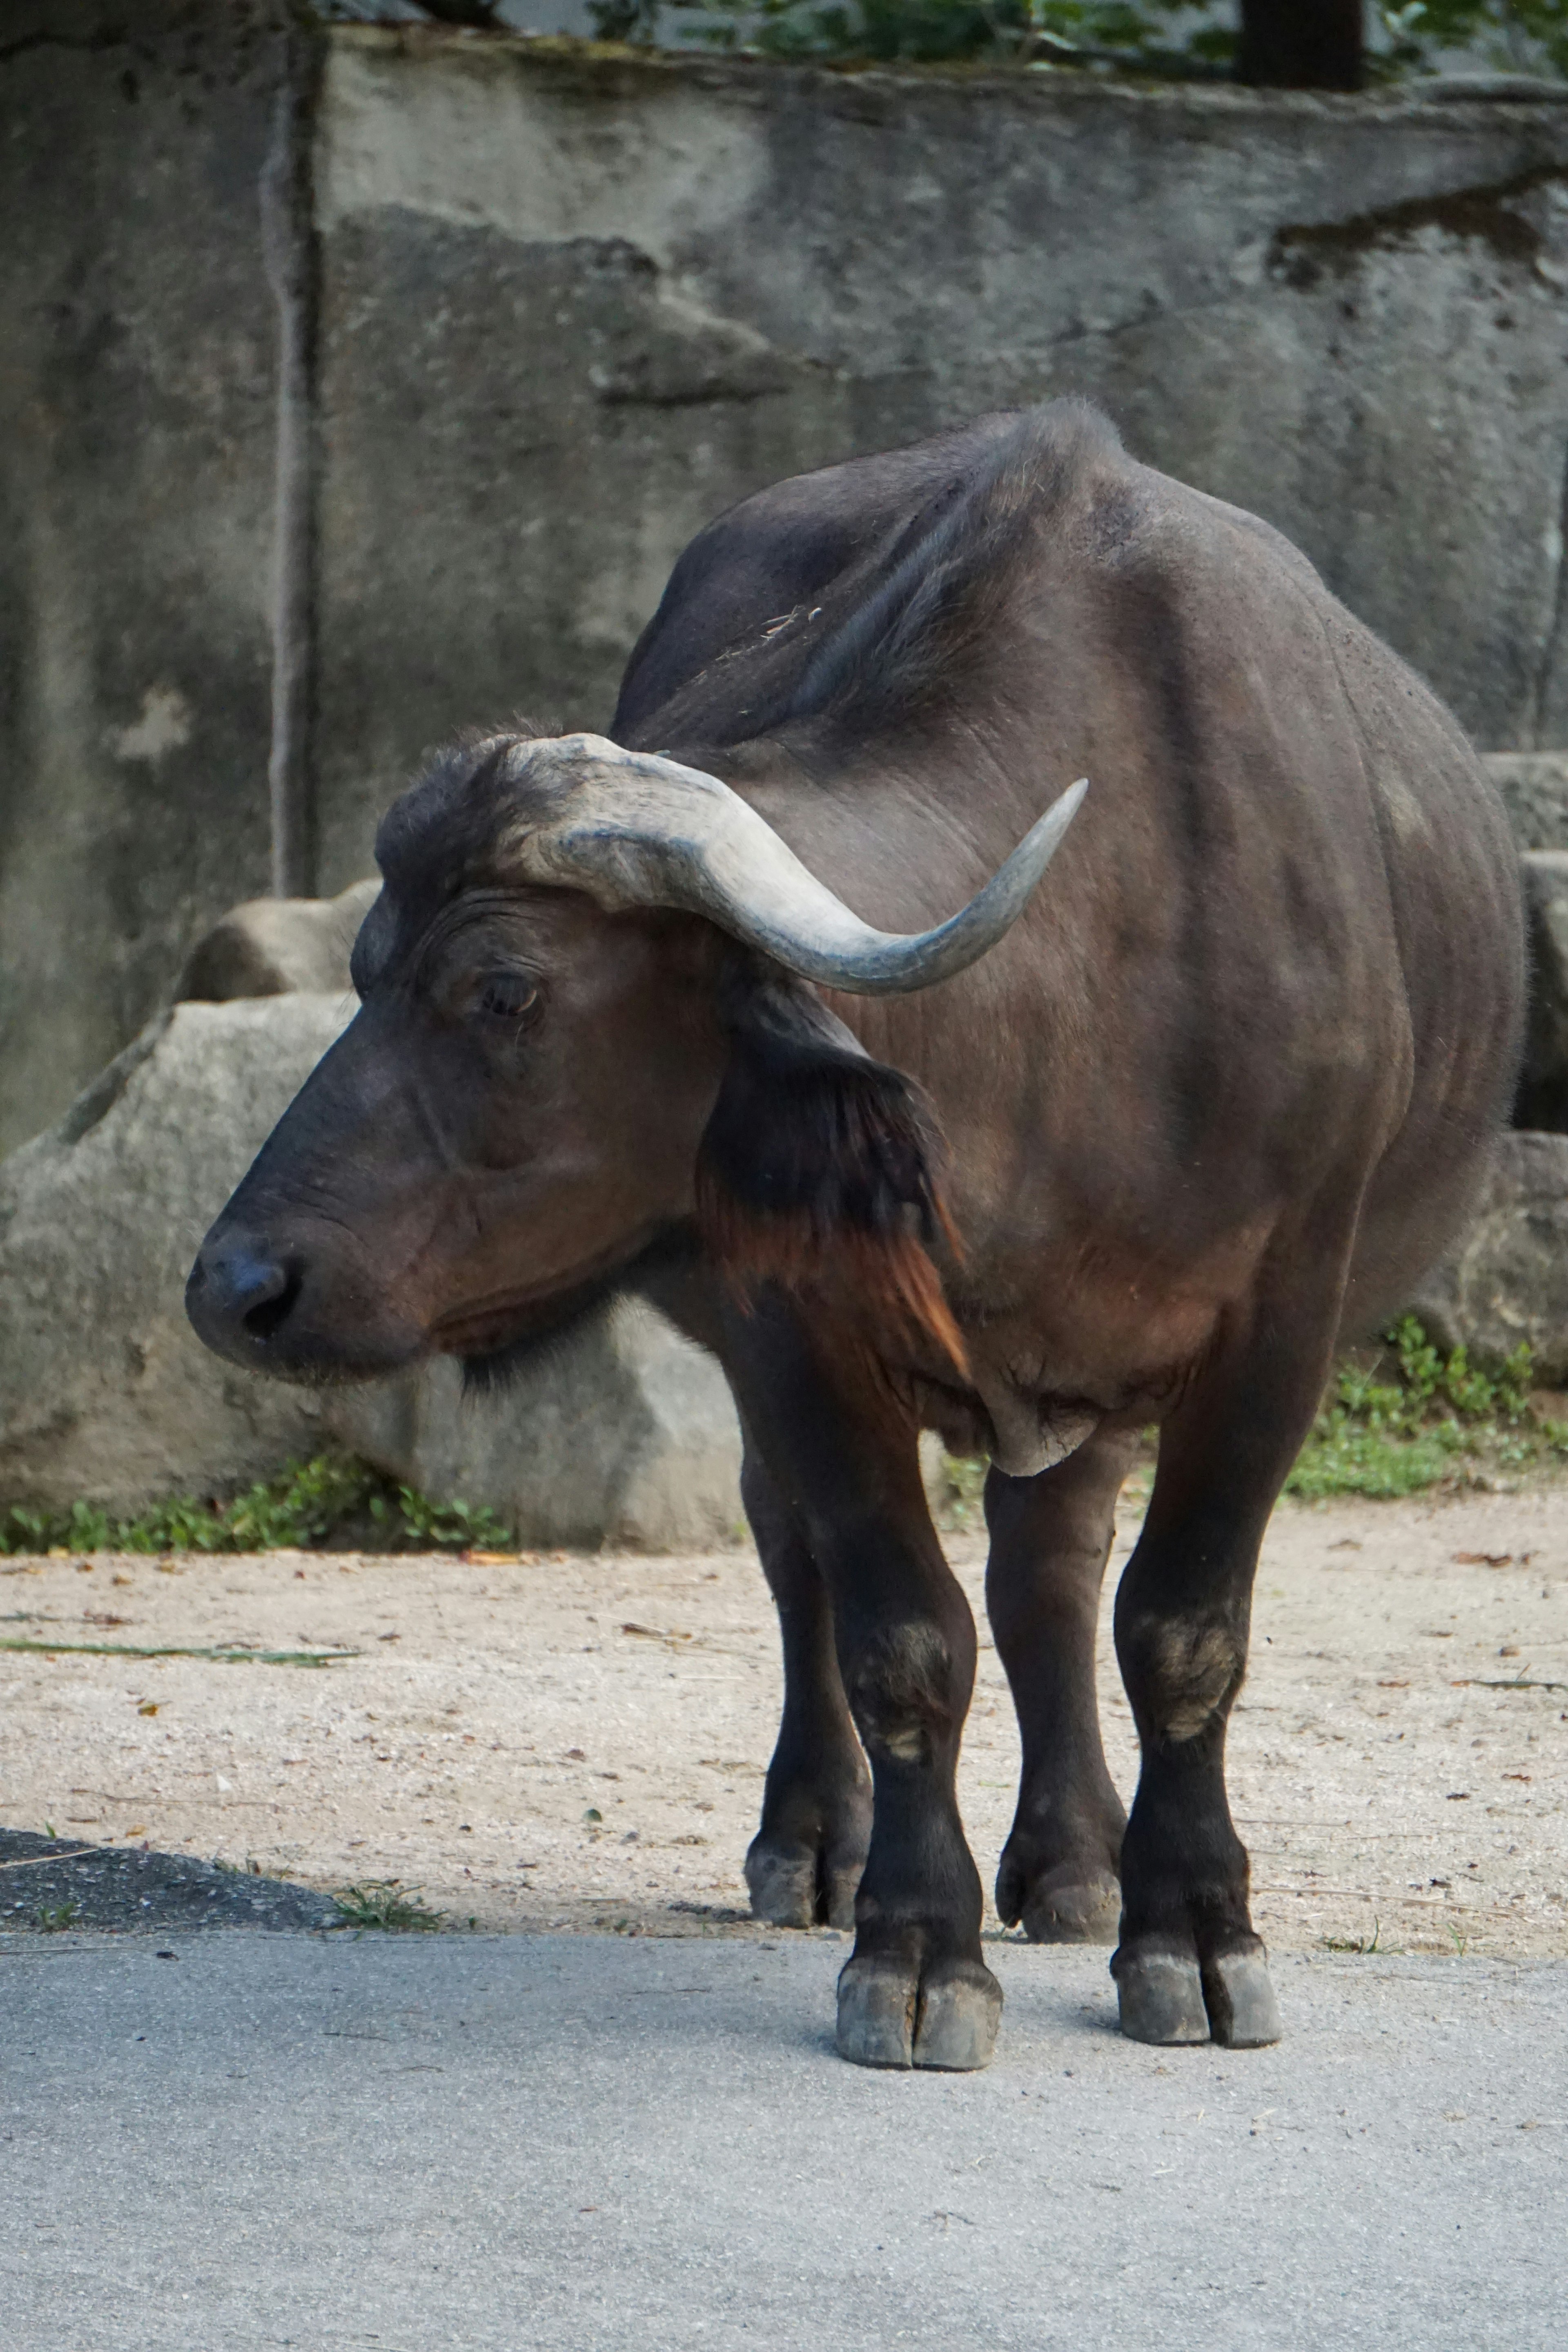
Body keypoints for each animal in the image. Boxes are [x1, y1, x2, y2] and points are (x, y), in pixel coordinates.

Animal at [184, 409, 1523, 2079]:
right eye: (362, 967)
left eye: (502, 987)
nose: (238, 1286)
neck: (1085, 987)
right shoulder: (792, 1322)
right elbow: (900, 1635)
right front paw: (914, 1947)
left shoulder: (1278, 1324)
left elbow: (1181, 1629)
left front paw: (1196, 1932)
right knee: (803, 1549)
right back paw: (819, 1838)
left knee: (1051, 1565)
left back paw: (1073, 1862)